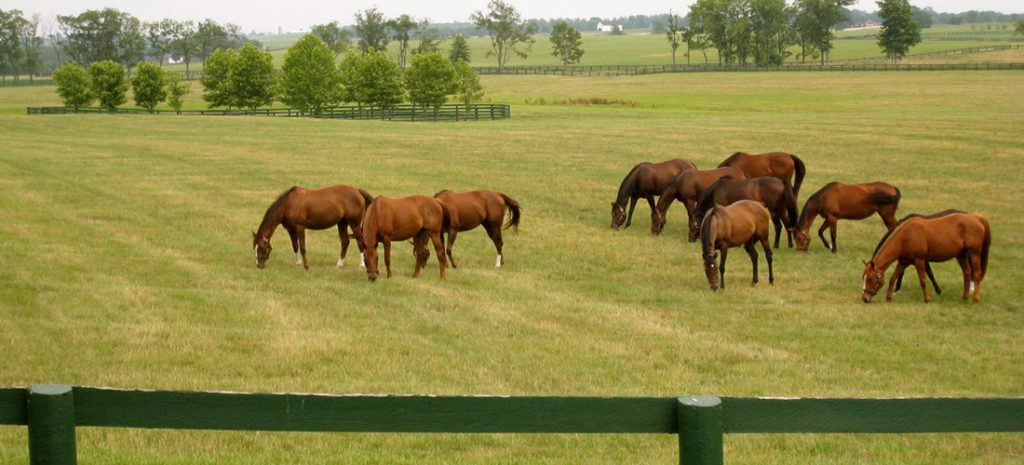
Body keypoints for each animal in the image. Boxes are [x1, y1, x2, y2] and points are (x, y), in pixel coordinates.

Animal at [861, 211, 990, 303]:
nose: (865, 298)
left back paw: (975, 299)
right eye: (864, 277)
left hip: (973, 254)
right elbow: (893, 277)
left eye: (870, 279)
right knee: (967, 273)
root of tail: (977, 218)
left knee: (976, 274)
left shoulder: (920, 261)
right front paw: (888, 298)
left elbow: (922, 280)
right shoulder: (903, 262)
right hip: (961, 255)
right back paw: (965, 297)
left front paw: (927, 299)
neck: (906, 236)